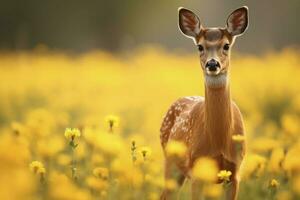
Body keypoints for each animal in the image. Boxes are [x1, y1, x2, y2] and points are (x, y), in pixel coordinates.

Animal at [161, 6, 250, 200]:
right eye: (199, 46)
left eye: (226, 45)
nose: (212, 63)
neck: (220, 142)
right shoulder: (197, 171)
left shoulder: (235, 172)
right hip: (171, 162)